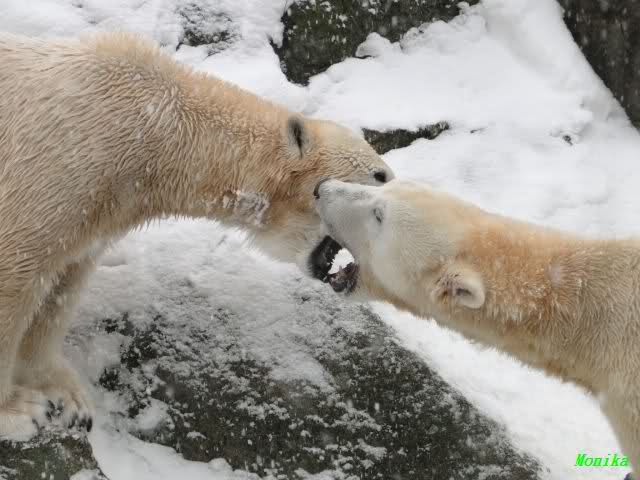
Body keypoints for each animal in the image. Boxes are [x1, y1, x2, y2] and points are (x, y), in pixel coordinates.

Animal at [0, 32, 393, 440]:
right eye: (380, 175)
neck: (149, 129)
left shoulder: (100, 208)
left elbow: (63, 285)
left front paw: (68, 397)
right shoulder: (61, 162)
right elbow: (15, 268)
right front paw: (18, 411)